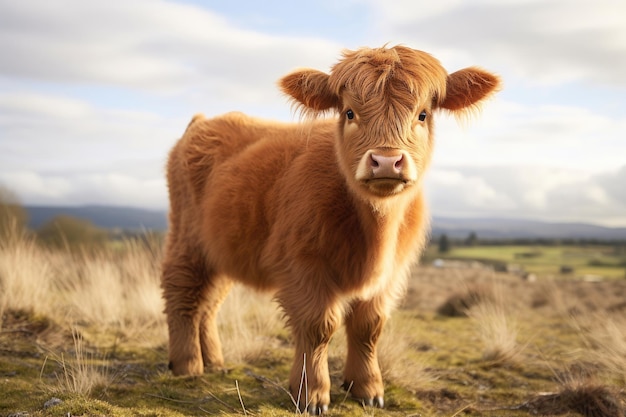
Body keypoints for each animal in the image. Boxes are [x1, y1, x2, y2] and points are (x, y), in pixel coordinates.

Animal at [160, 45, 498, 412]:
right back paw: (188, 365)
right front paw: (311, 394)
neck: (374, 233)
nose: (386, 161)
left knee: (208, 302)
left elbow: (369, 327)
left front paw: (367, 389)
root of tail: (203, 121)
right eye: (349, 112)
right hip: (187, 238)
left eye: (422, 115)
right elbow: (318, 327)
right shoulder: (302, 266)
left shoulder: (390, 275)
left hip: (222, 249)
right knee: (182, 293)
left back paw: (215, 361)